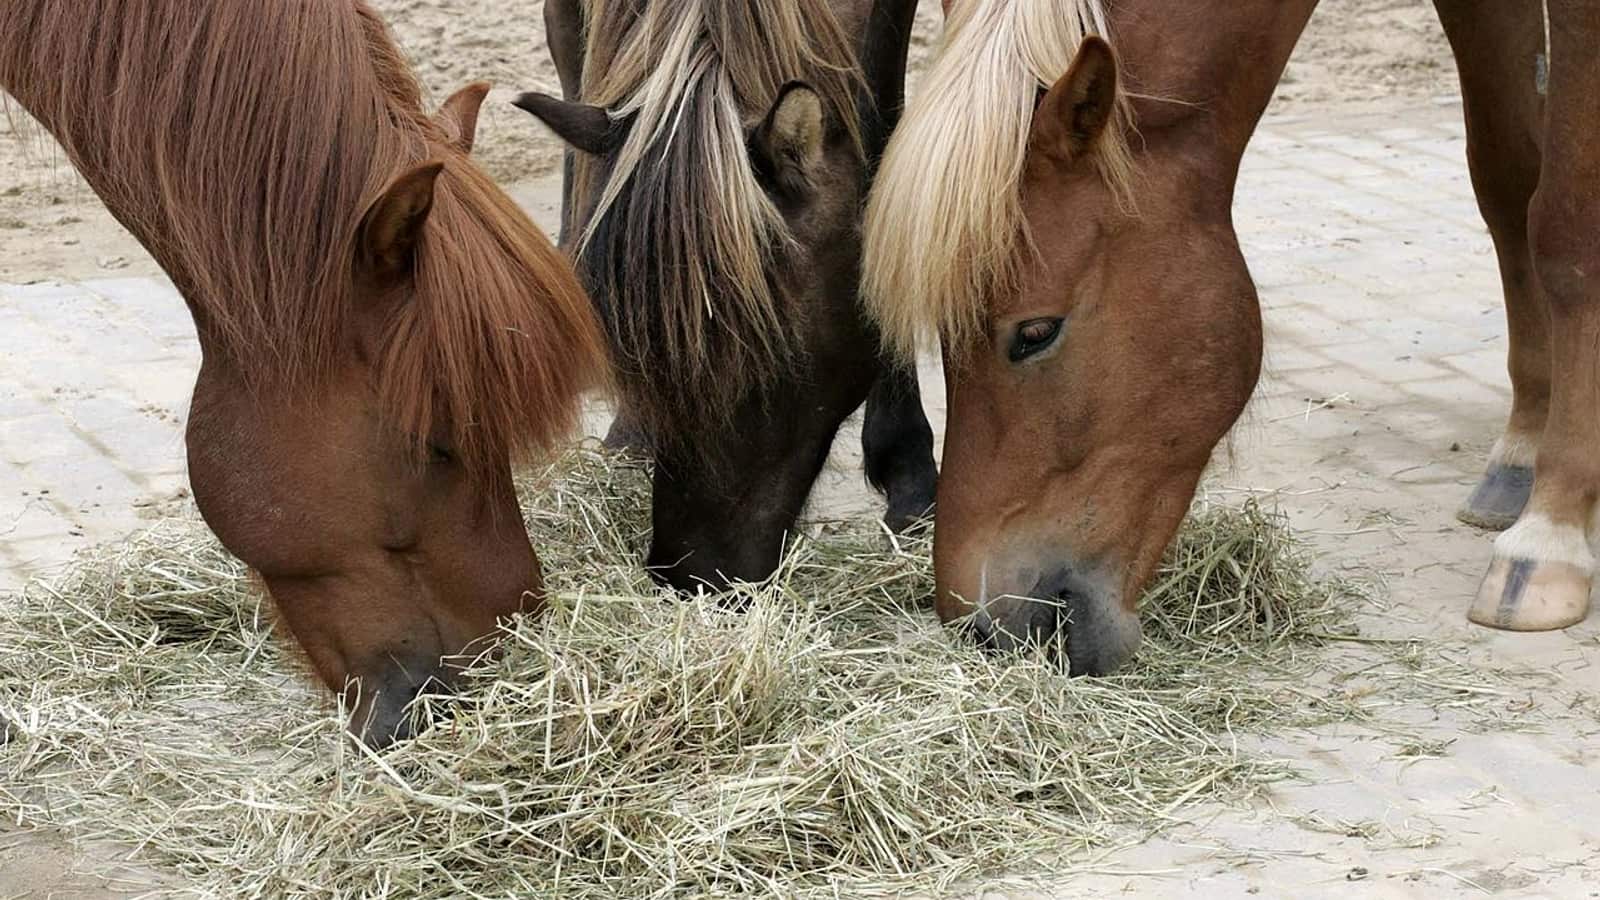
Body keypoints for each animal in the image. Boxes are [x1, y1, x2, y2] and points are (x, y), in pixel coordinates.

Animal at [862, 0, 1598, 673]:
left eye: (1035, 333)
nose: (980, 626)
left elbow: (1566, 227)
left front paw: (1550, 532)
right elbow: (1507, 181)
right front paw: (1524, 448)